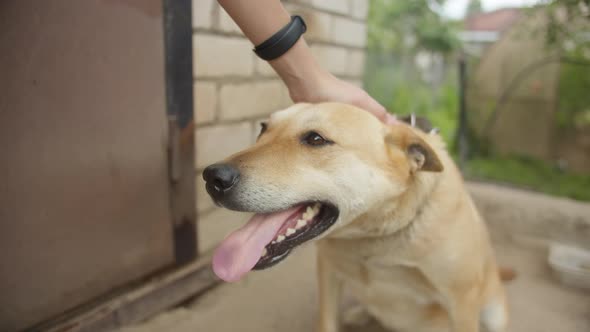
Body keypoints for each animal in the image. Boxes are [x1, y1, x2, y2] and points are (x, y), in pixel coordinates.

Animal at [205, 103, 512, 332]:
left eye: (315, 139)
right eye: (263, 128)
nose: (212, 178)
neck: (372, 236)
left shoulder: (461, 302)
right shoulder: (328, 273)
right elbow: (326, 322)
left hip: (493, 312)